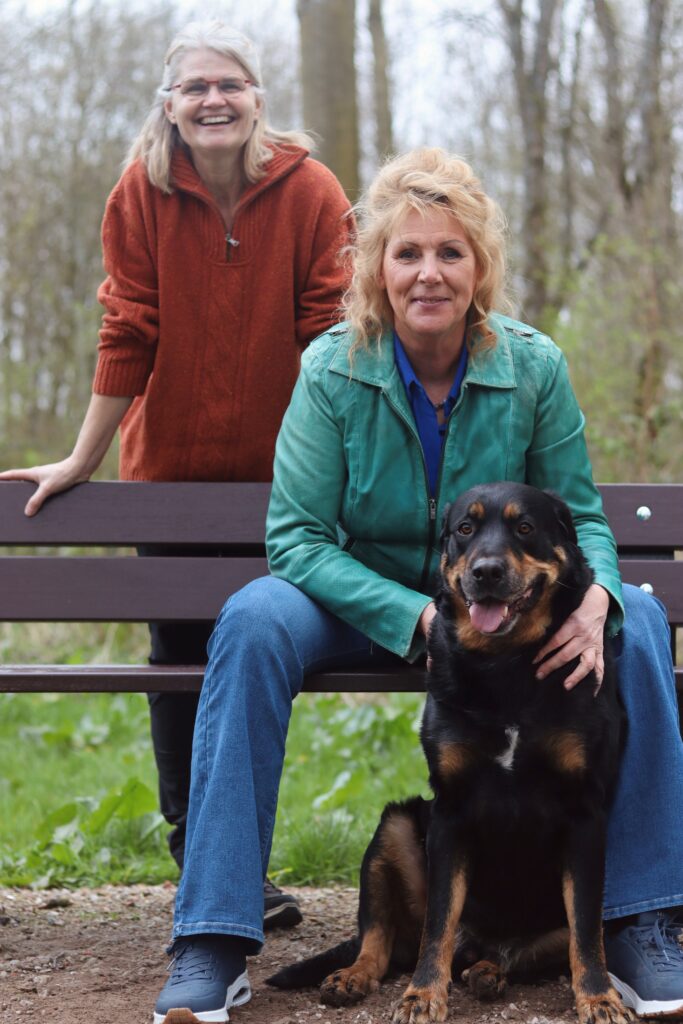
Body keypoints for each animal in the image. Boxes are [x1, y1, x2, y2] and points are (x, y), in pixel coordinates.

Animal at [266, 485, 630, 1024]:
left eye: (525, 528)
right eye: (465, 529)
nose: (487, 571)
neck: (506, 667)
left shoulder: (585, 815)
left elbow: (586, 931)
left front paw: (599, 998)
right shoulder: (450, 811)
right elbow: (437, 923)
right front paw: (422, 995)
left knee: (530, 952)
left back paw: (489, 972)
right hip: (396, 826)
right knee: (383, 938)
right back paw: (355, 976)